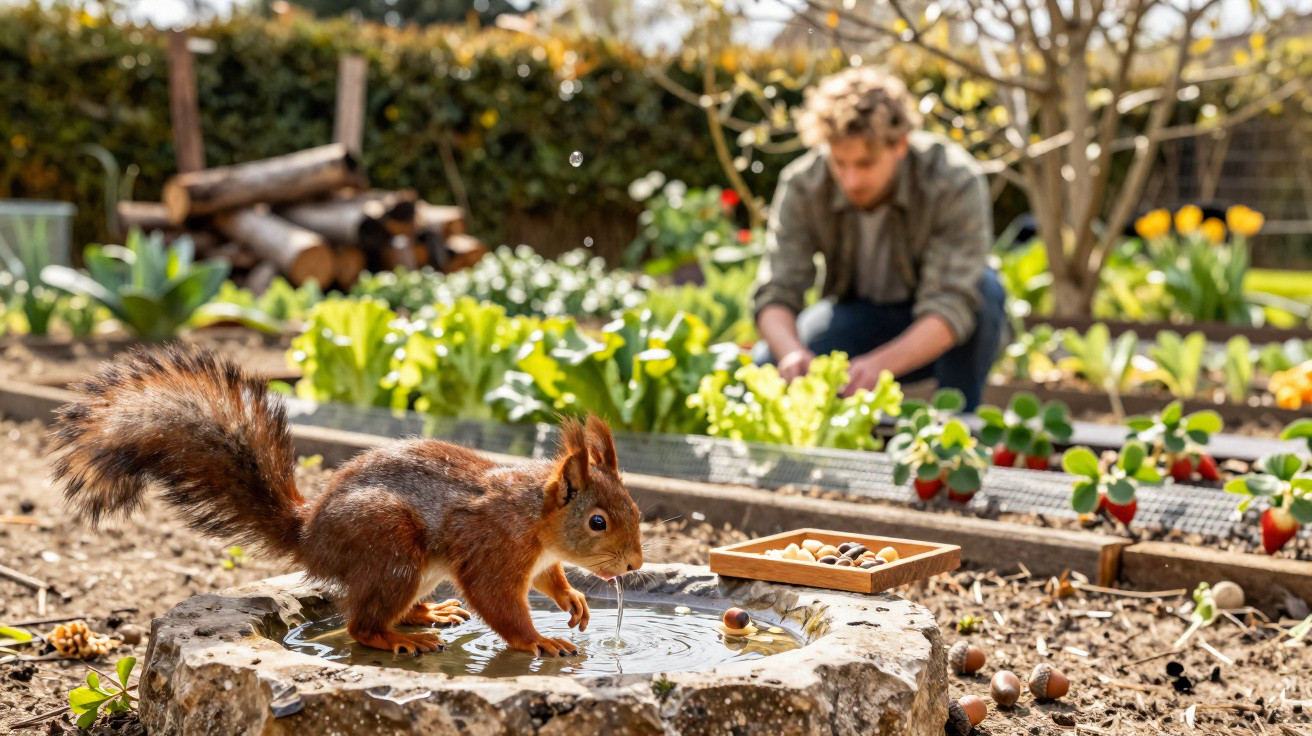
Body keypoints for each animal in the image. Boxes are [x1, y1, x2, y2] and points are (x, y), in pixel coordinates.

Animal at [47, 345, 645, 657]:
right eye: (597, 521)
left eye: (636, 511)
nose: (635, 565)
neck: (534, 520)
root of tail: (308, 533)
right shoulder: (492, 549)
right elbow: (499, 603)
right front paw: (539, 641)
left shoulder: (537, 560)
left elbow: (550, 580)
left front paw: (574, 601)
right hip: (390, 545)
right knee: (361, 623)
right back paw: (400, 639)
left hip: (410, 567)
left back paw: (431, 613)